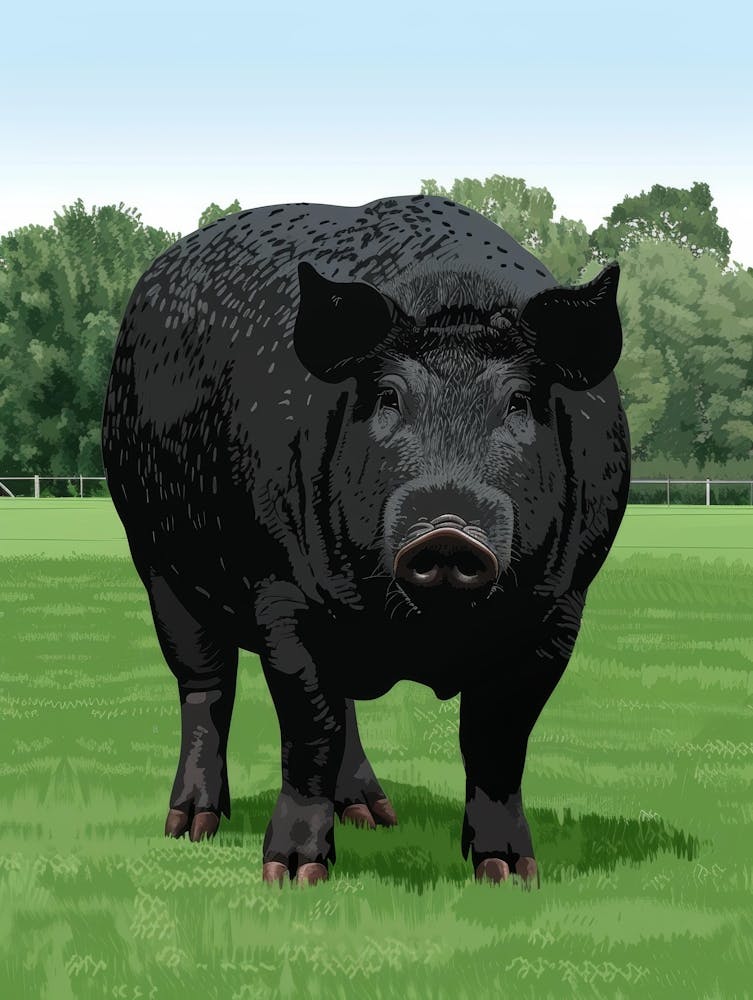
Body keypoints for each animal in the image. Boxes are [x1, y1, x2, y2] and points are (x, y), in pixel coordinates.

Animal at [101, 194, 630, 886]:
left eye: (518, 402)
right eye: (387, 398)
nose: (447, 531)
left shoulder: (562, 607)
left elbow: (497, 738)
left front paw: (509, 873)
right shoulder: (281, 591)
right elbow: (308, 727)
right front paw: (292, 876)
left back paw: (375, 817)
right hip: (155, 558)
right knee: (204, 687)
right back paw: (191, 828)